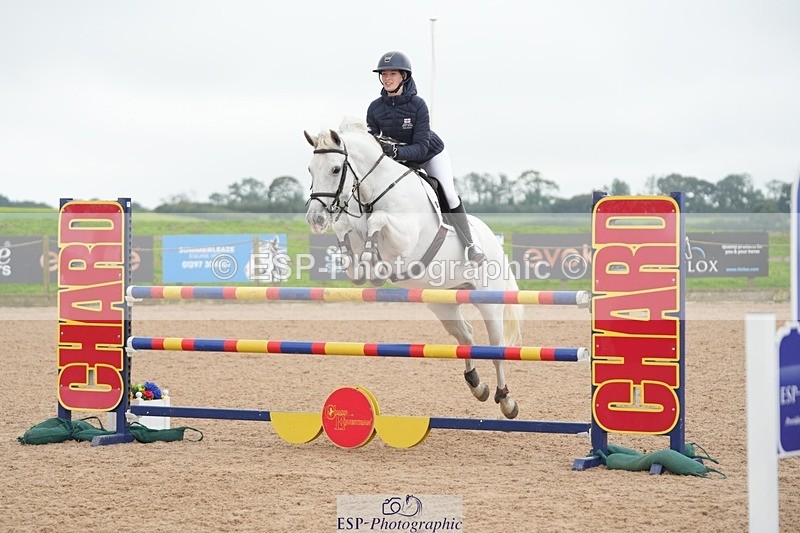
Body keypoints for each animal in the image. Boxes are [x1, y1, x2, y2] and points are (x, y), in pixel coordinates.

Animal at [304, 118, 524, 418]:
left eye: (335, 169)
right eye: (310, 169)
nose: (315, 218)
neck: (375, 191)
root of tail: (494, 242)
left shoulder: (404, 239)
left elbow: (379, 221)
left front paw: (371, 254)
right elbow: (347, 231)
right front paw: (363, 266)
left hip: (489, 300)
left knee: (496, 347)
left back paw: (506, 400)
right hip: (443, 303)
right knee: (465, 334)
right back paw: (477, 385)